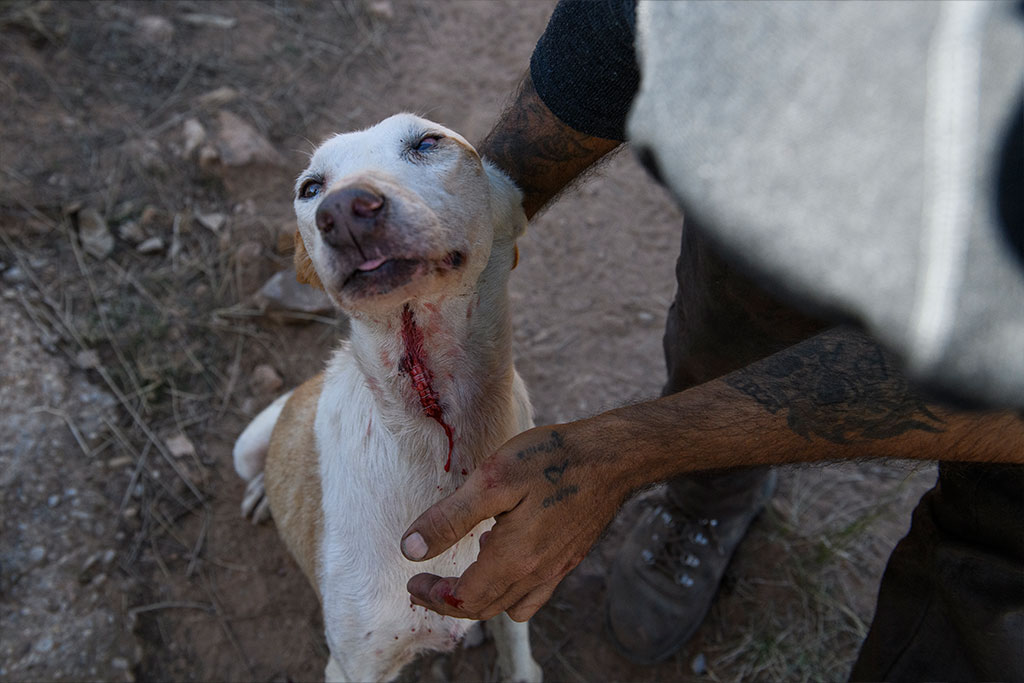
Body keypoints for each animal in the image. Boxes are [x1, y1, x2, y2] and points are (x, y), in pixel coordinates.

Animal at [233, 114, 544, 679]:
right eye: (310, 188)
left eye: (428, 142)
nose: (343, 211)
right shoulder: (354, 665)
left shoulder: (512, 593)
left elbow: (520, 665)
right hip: (244, 446)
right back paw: (262, 492)